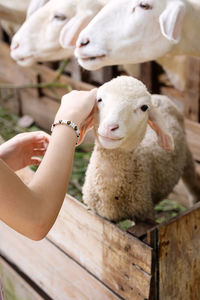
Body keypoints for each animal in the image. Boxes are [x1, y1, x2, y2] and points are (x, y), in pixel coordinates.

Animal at [81, 76, 200, 221]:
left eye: (144, 107)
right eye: (99, 99)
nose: (110, 127)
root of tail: (160, 97)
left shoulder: (145, 215)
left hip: (187, 157)